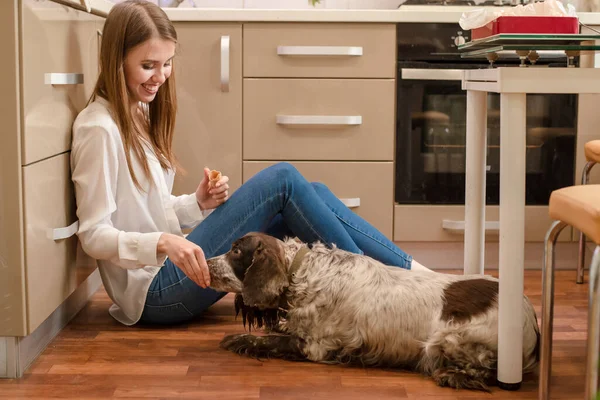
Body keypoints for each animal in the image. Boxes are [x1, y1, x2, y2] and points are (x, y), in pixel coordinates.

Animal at [206, 231, 540, 390]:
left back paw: (453, 375)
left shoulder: (314, 346)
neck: (300, 272)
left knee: (487, 370)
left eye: (236, 250)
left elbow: (266, 340)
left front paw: (236, 340)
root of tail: (530, 318)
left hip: (446, 340)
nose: (206, 263)